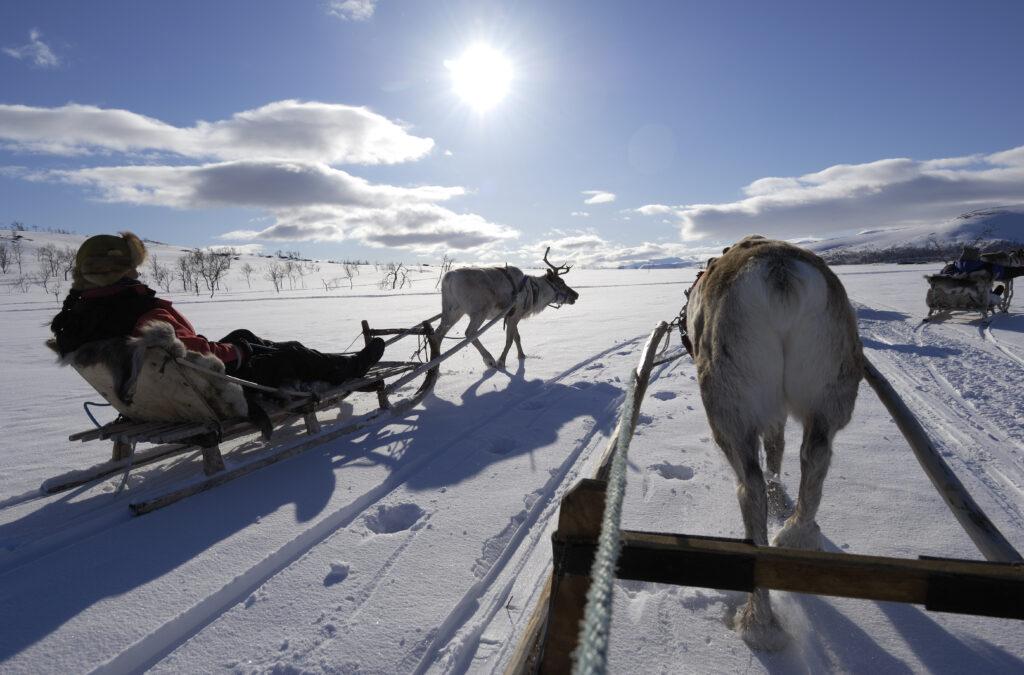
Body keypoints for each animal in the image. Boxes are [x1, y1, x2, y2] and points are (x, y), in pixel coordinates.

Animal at [433, 248, 579, 369]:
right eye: (561, 283)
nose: (576, 295)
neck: (534, 290)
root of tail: (448, 278)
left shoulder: (510, 317)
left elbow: (517, 337)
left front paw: (522, 356)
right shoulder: (515, 315)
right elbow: (509, 340)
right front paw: (501, 361)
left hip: (452, 310)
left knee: (438, 334)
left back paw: (436, 366)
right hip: (479, 311)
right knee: (469, 333)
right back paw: (489, 359)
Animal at [683, 235, 864, 650]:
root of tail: (780, 274)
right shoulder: (780, 409)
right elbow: (778, 445)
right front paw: (779, 489)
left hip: (729, 408)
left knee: (749, 489)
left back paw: (758, 620)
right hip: (830, 393)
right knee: (815, 458)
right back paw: (798, 534)